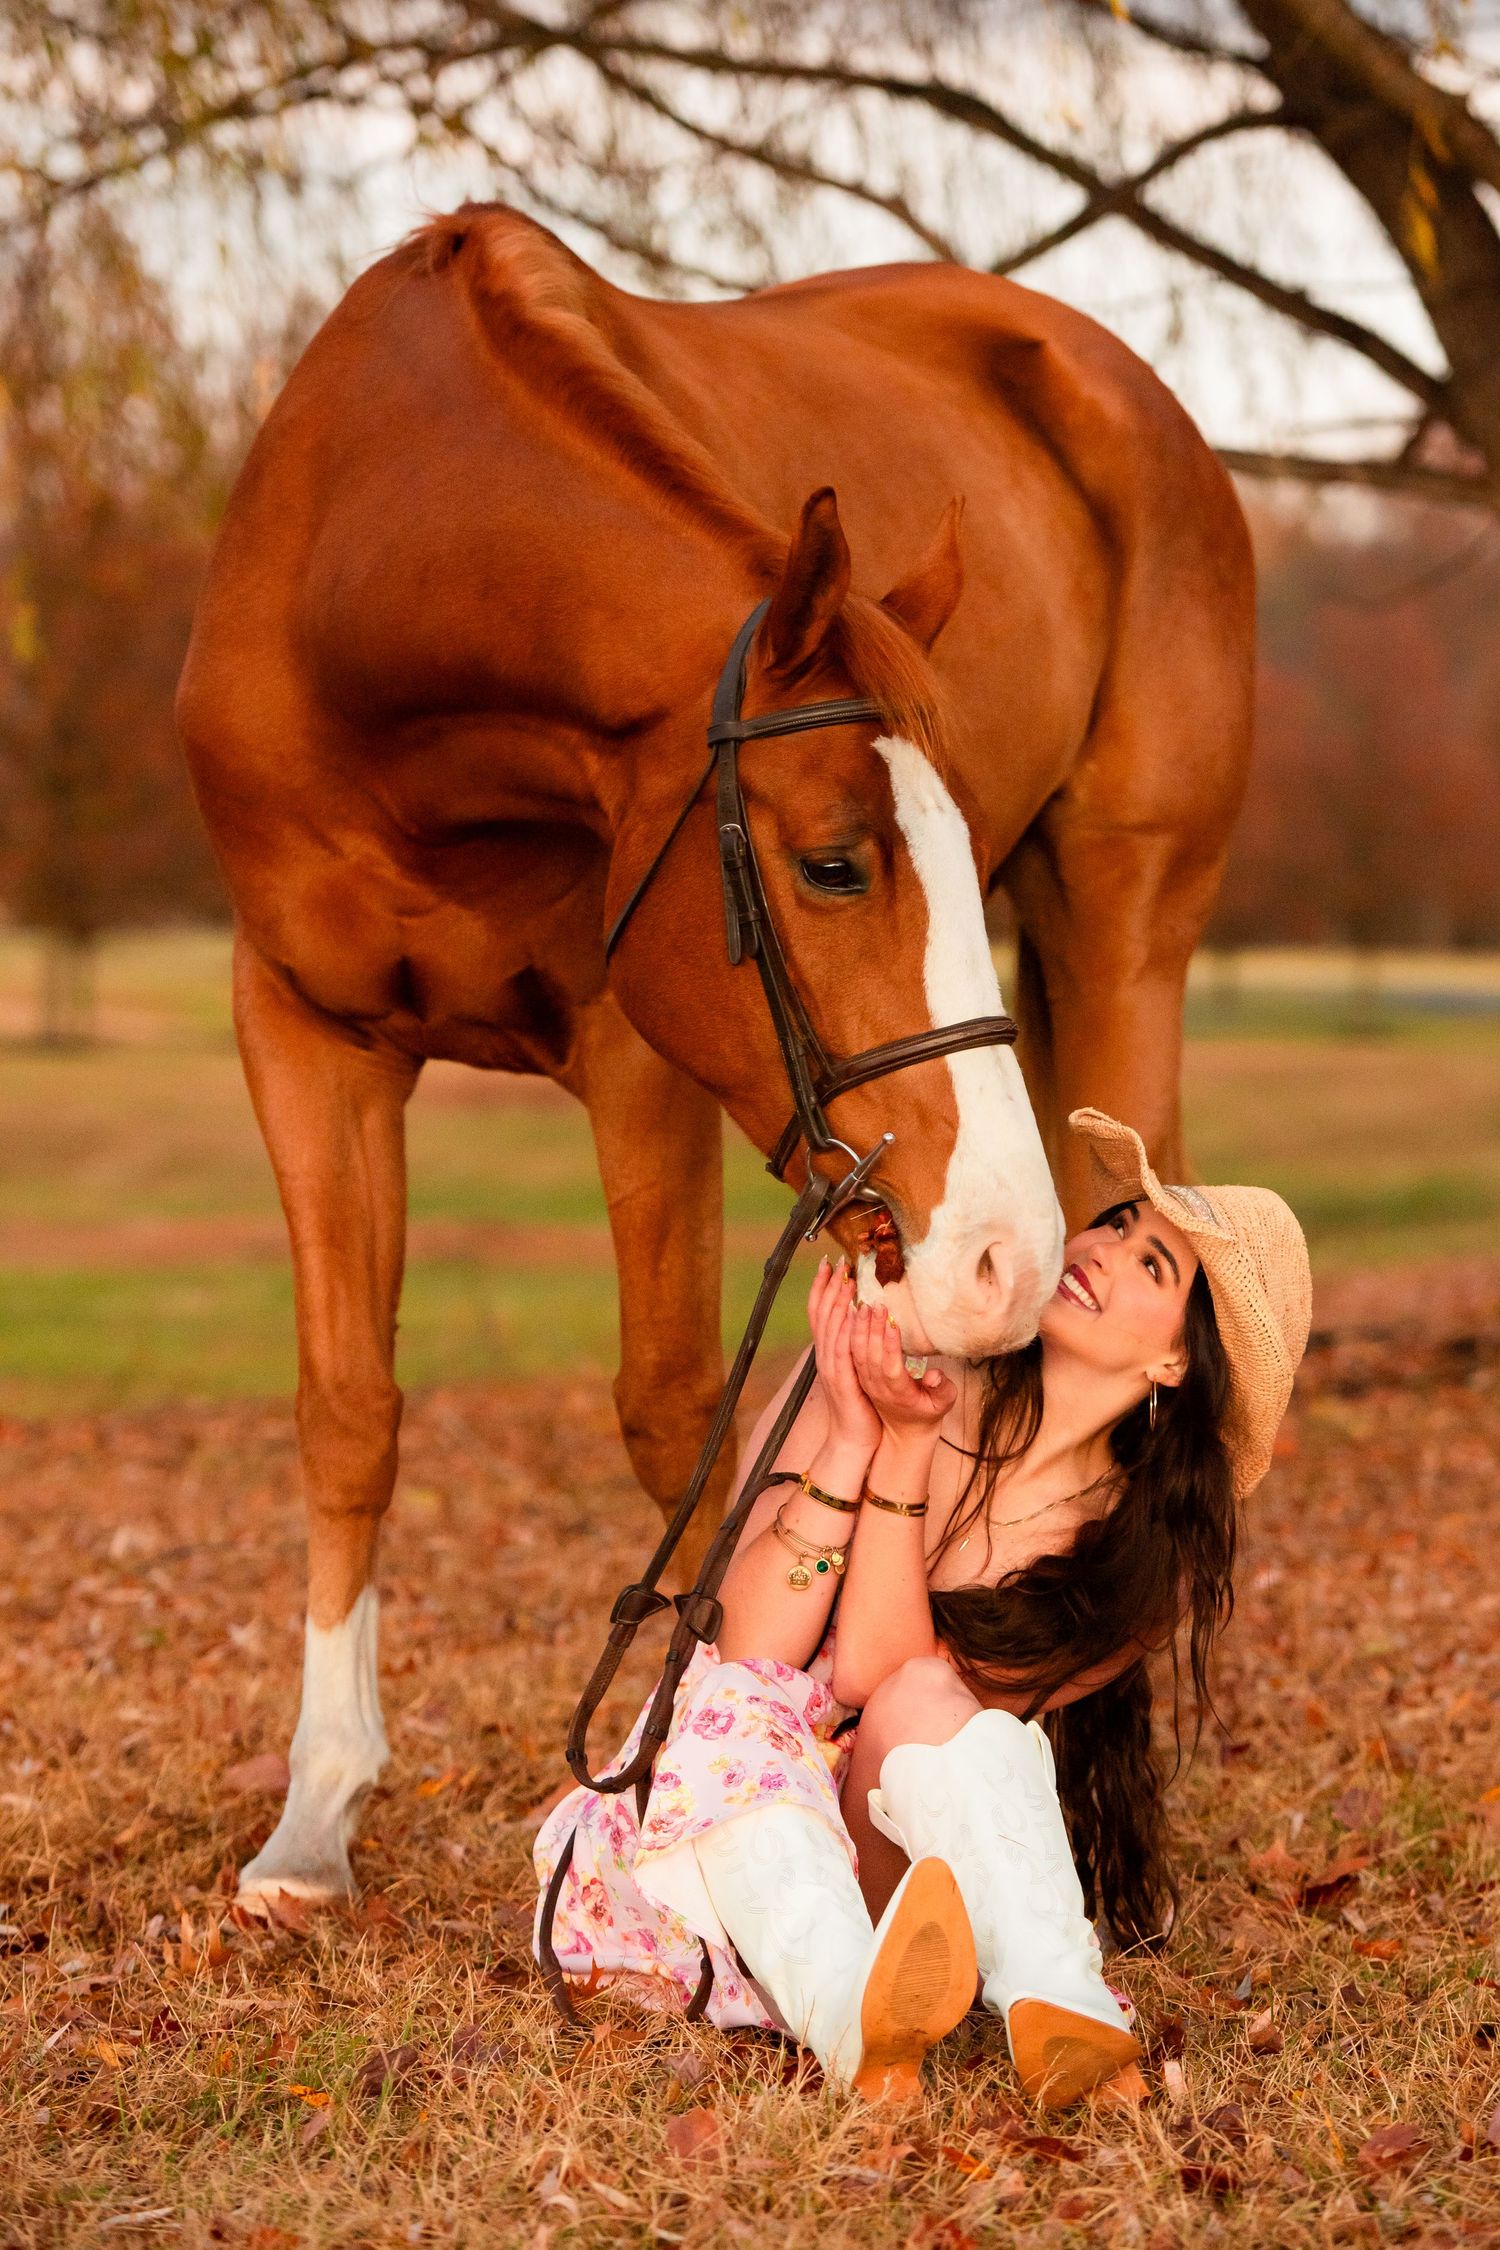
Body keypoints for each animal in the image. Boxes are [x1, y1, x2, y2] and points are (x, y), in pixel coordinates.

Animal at [175, 205, 1253, 1904]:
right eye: (831, 863)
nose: (1001, 1254)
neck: (362, 582)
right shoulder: (298, 1027)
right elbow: (349, 1403)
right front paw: (316, 1816)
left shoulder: (636, 1053)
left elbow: (675, 1411)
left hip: (1124, 933)